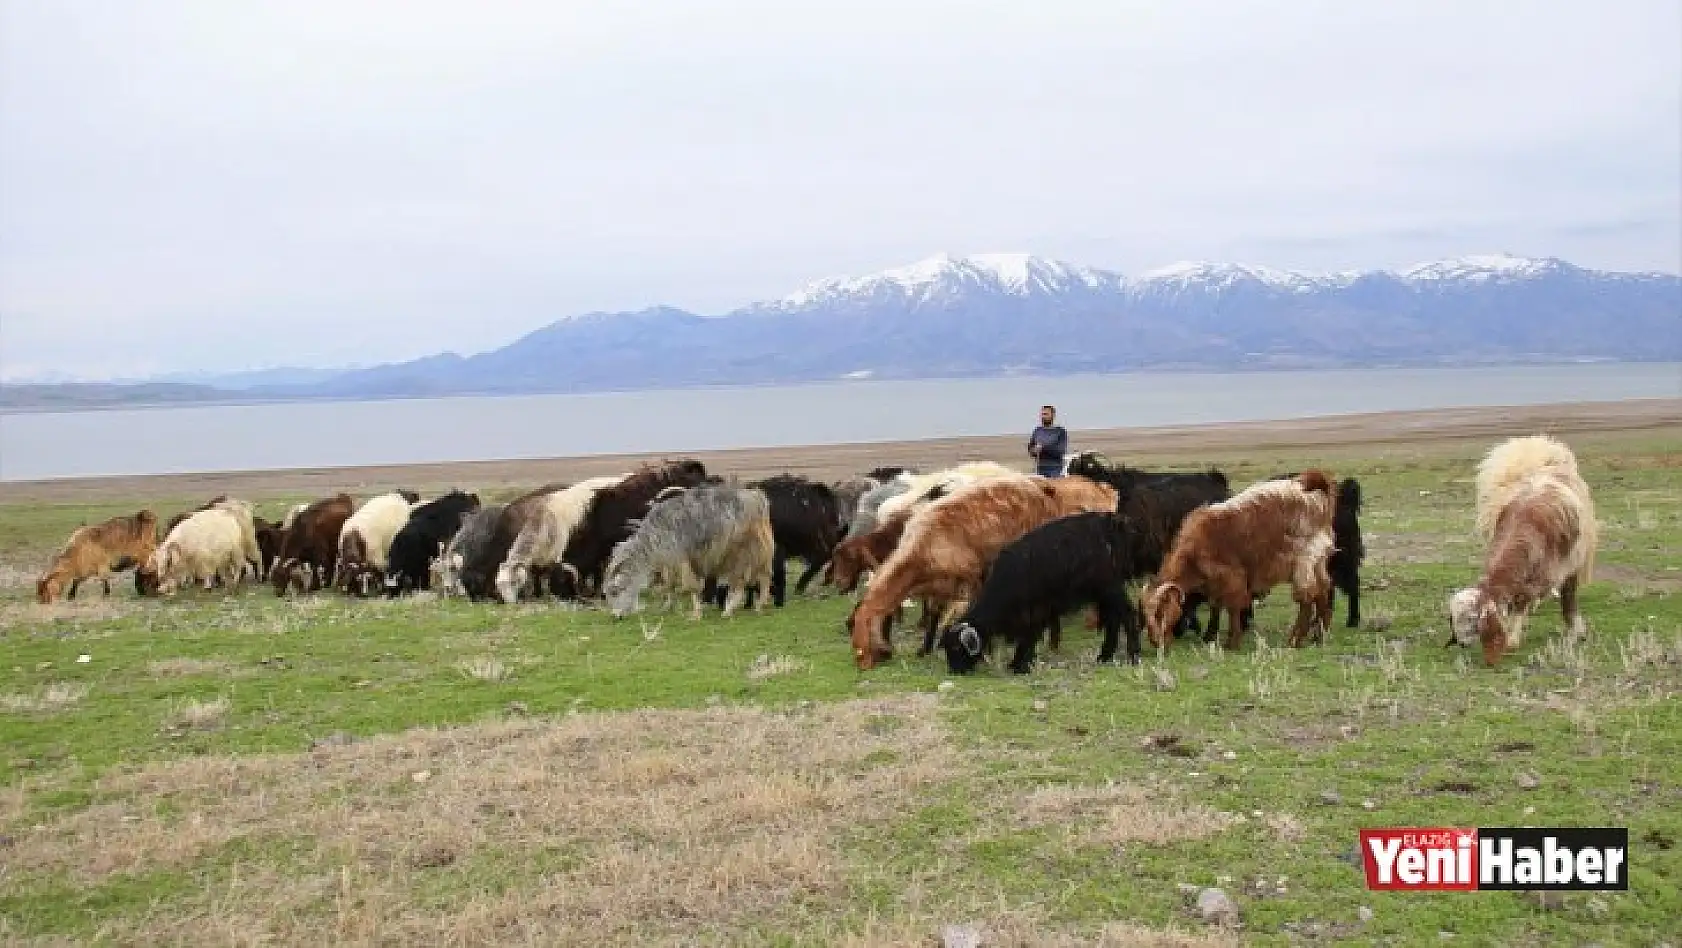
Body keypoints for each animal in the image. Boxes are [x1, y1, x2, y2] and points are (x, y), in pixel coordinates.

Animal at [847, 470, 1110, 665]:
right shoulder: (941, 585)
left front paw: (985, 651)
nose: (863, 666)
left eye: (860, 645)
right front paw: (925, 649)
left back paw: (1052, 642)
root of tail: (1045, 489)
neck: (921, 551)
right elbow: (933, 615)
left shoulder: (971, 579)